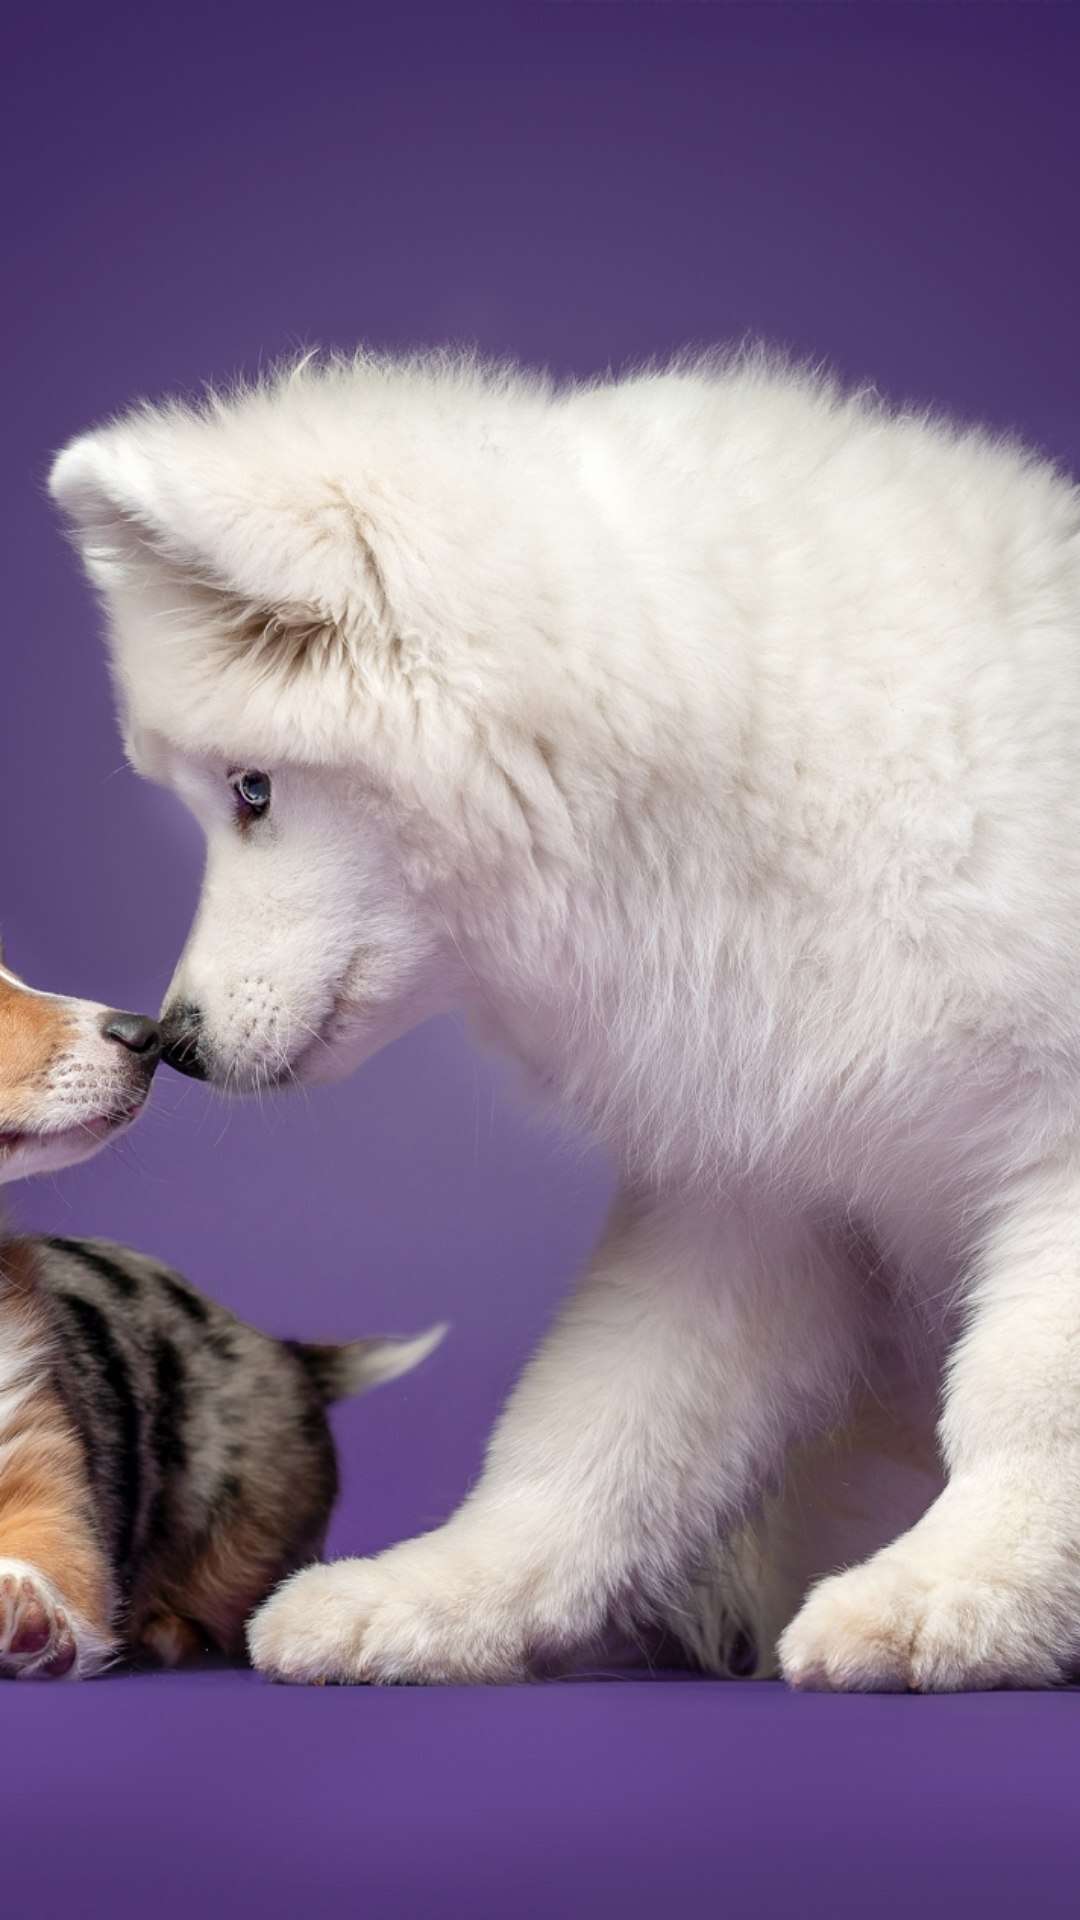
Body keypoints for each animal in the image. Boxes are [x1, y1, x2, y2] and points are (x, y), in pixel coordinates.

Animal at [48, 353, 1076, 1689]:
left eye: (254, 792)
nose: (178, 1043)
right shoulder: (757, 1201)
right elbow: (601, 1426)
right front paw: (449, 1595)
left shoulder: (1055, 1154)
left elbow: (1026, 1406)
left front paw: (961, 1590)